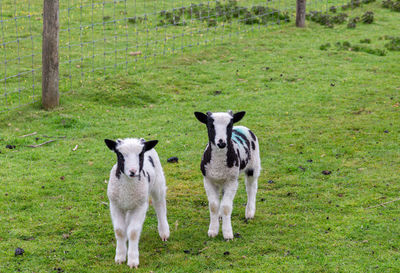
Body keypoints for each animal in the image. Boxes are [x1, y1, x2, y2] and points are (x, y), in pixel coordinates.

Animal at [195, 109, 262, 239]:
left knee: (251, 188)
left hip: (254, 165)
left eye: (229, 125)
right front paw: (212, 231)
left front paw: (227, 234)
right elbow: (214, 206)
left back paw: (249, 212)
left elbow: (226, 207)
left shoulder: (232, 180)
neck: (219, 162)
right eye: (210, 125)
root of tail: (241, 126)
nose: (221, 143)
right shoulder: (208, 180)